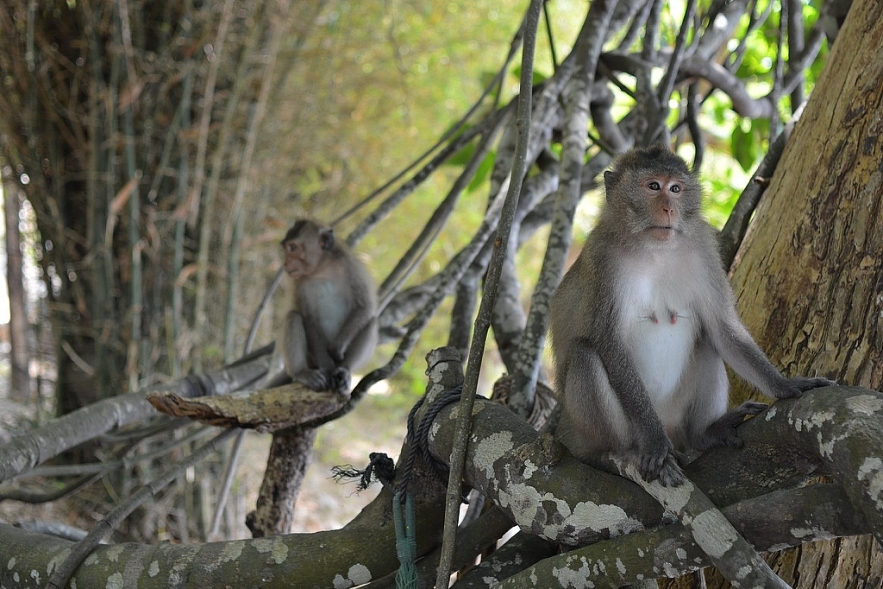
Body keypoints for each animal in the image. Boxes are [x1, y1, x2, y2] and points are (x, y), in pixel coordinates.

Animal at [268, 220, 382, 396]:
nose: (286, 263)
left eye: (292, 248)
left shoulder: (350, 267)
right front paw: (328, 368)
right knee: (293, 317)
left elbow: (364, 307)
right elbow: (309, 320)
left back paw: (345, 370)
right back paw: (302, 373)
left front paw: (336, 348)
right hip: (311, 359)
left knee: (371, 321)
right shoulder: (299, 283)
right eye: (287, 248)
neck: (322, 270)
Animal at [552, 145, 836, 484]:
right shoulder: (603, 260)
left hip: (678, 418)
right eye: (653, 186)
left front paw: (785, 385)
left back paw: (705, 433)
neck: (654, 250)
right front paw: (654, 443)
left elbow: (721, 327)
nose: (669, 209)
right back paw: (626, 449)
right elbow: (610, 343)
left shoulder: (703, 250)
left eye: (675, 189)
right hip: (596, 429)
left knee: (707, 342)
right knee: (585, 354)